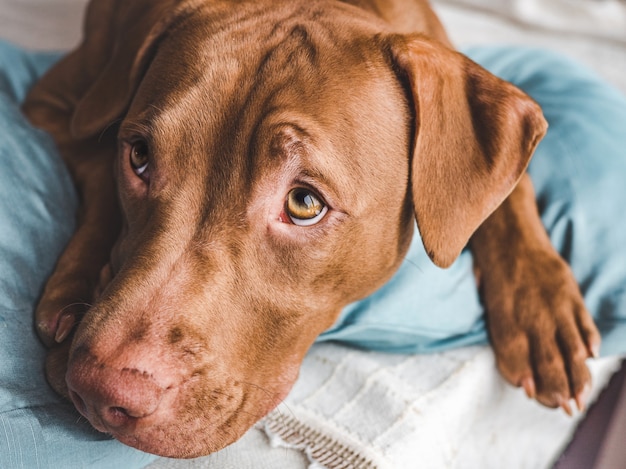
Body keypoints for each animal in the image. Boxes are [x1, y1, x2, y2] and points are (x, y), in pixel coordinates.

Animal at [24, 0, 600, 458]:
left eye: (303, 204)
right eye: (139, 156)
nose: (101, 390)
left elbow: (512, 190)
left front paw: (541, 310)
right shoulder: (53, 101)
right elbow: (97, 167)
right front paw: (76, 289)